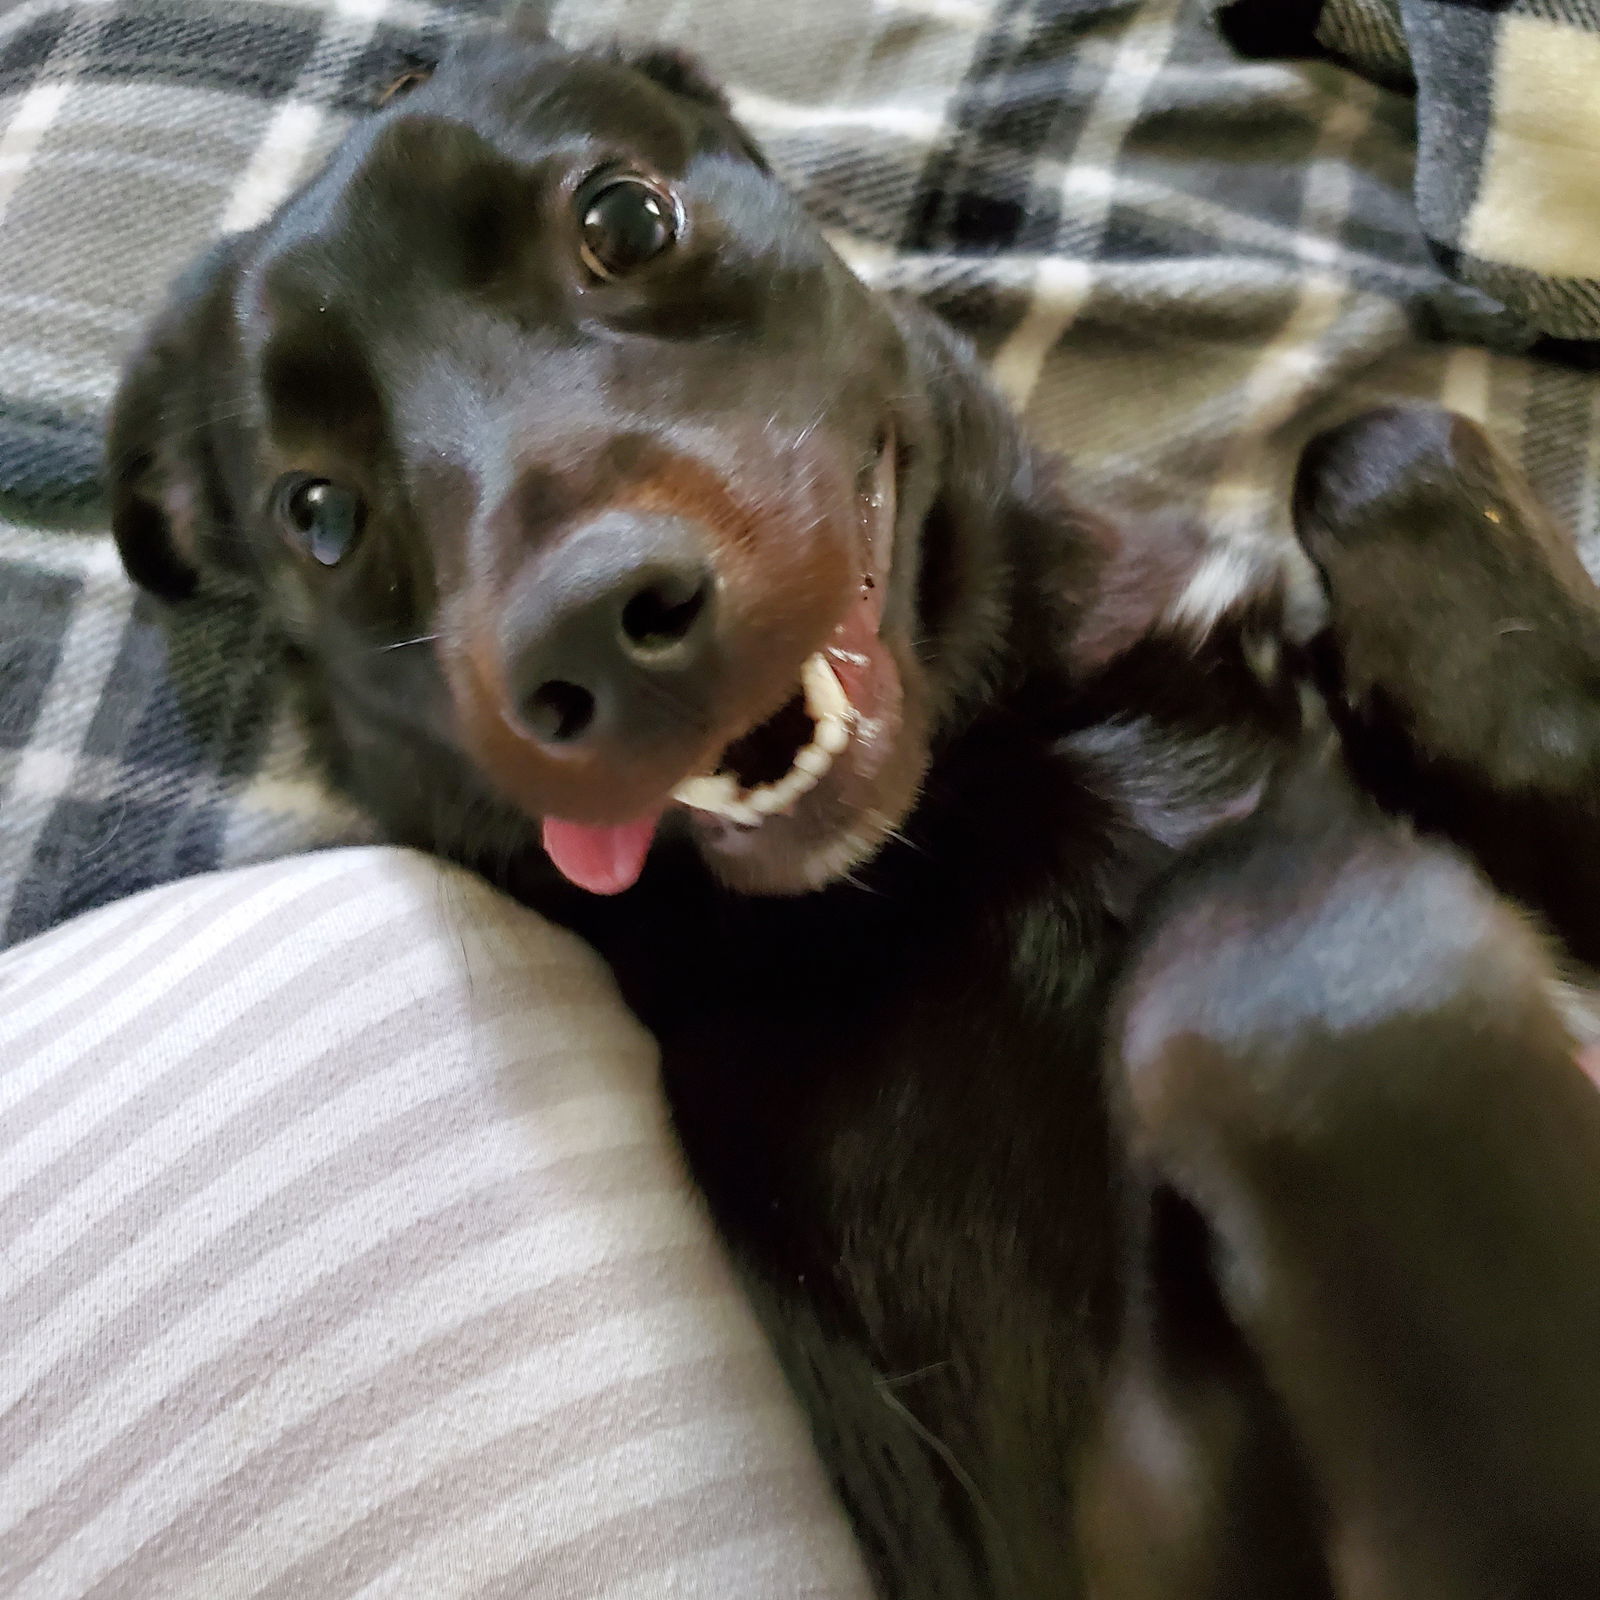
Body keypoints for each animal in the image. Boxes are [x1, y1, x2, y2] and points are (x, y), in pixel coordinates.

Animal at [106, 25, 1600, 1600]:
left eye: (625, 219)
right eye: (316, 514)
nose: (585, 639)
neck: (979, 783)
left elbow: (1382, 440)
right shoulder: (1109, 1532)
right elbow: (1282, 968)